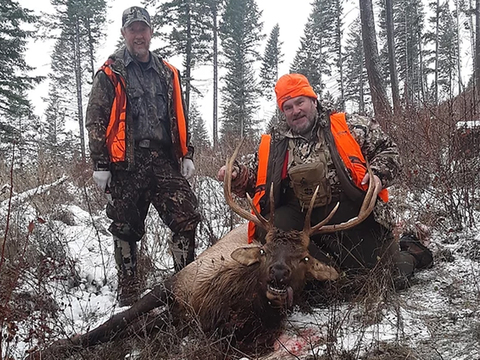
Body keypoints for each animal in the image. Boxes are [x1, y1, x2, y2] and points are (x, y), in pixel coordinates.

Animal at [26, 143, 380, 358]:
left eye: (304, 258)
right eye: (264, 250)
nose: (279, 273)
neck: (230, 304)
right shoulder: (175, 286)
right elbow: (115, 323)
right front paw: (52, 347)